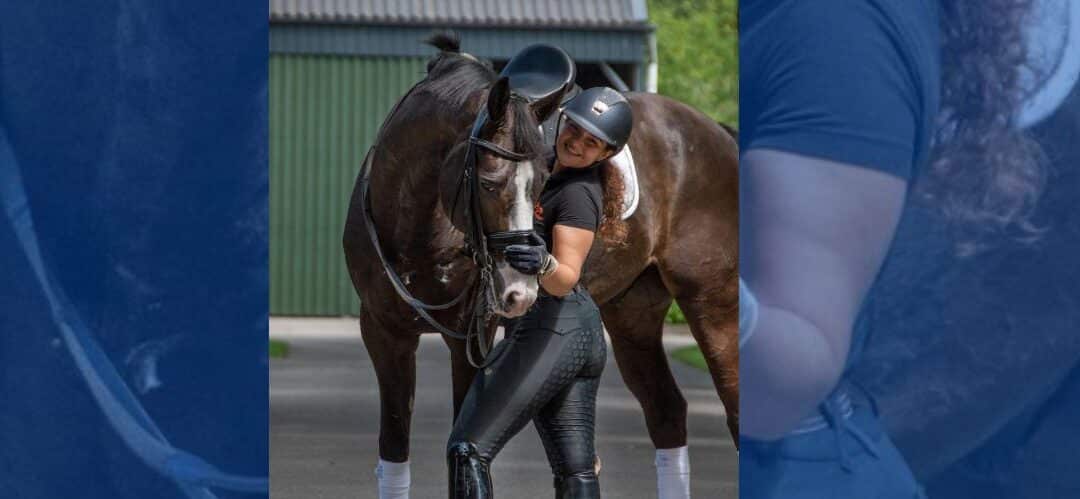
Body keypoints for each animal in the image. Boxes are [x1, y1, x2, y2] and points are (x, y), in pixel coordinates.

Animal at [341, 34, 738, 490]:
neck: (415, 231)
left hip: (713, 304)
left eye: (544, 182)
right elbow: (393, 450)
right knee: (666, 412)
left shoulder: (469, 339)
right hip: (633, 313)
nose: (520, 292)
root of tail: (718, 134)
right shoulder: (383, 333)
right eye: (487, 181)